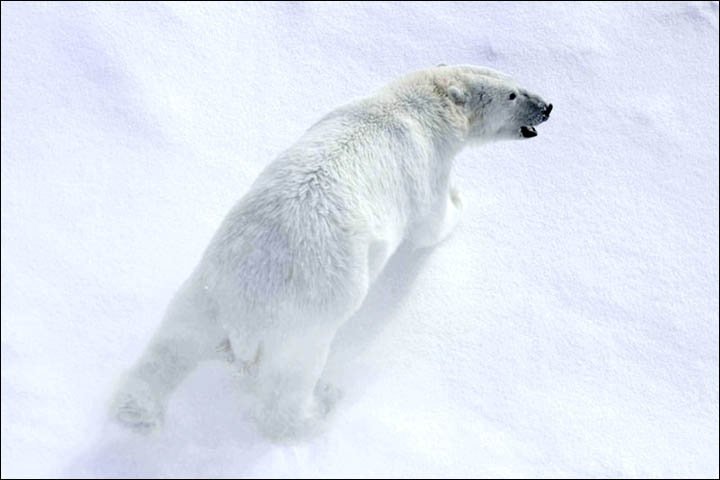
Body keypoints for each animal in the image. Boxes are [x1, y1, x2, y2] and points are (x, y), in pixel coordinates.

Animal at [111, 63, 552, 438]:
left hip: (204, 295)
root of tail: (244, 317)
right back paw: (319, 408)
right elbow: (430, 224)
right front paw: (459, 200)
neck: (415, 106)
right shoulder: (425, 167)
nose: (548, 106)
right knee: (287, 385)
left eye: (516, 80)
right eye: (513, 94)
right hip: (301, 328)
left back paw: (136, 412)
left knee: (169, 348)